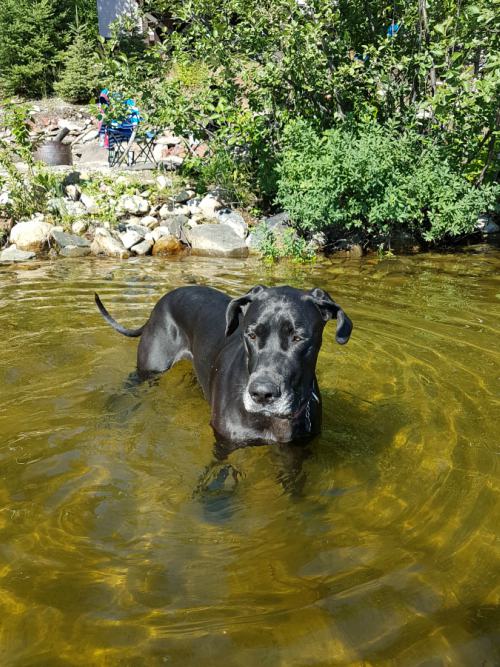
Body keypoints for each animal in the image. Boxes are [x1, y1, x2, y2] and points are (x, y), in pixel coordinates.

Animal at [94, 286, 352, 446]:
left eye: (298, 338)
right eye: (251, 334)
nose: (262, 394)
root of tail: (161, 301)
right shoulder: (224, 442)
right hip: (150, 369)